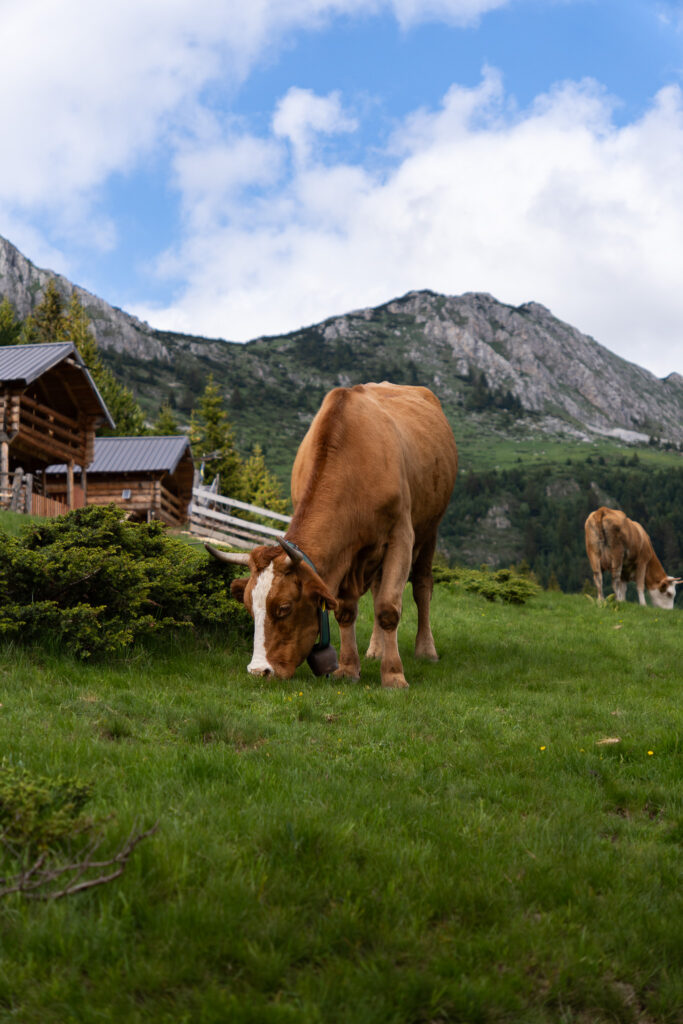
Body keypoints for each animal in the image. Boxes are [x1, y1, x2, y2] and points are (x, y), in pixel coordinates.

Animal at [207, 382, 458, 688]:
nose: (259, 671)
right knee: (377, 589)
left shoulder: (401, 536)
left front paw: (394, 675)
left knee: (422, 586)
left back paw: (426, 650)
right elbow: (345, 610)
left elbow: (388, 608)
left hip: (430, 529)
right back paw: (376, 649)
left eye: (284, 607)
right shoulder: (348, 552)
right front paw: (349, 669)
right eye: (249, 608)